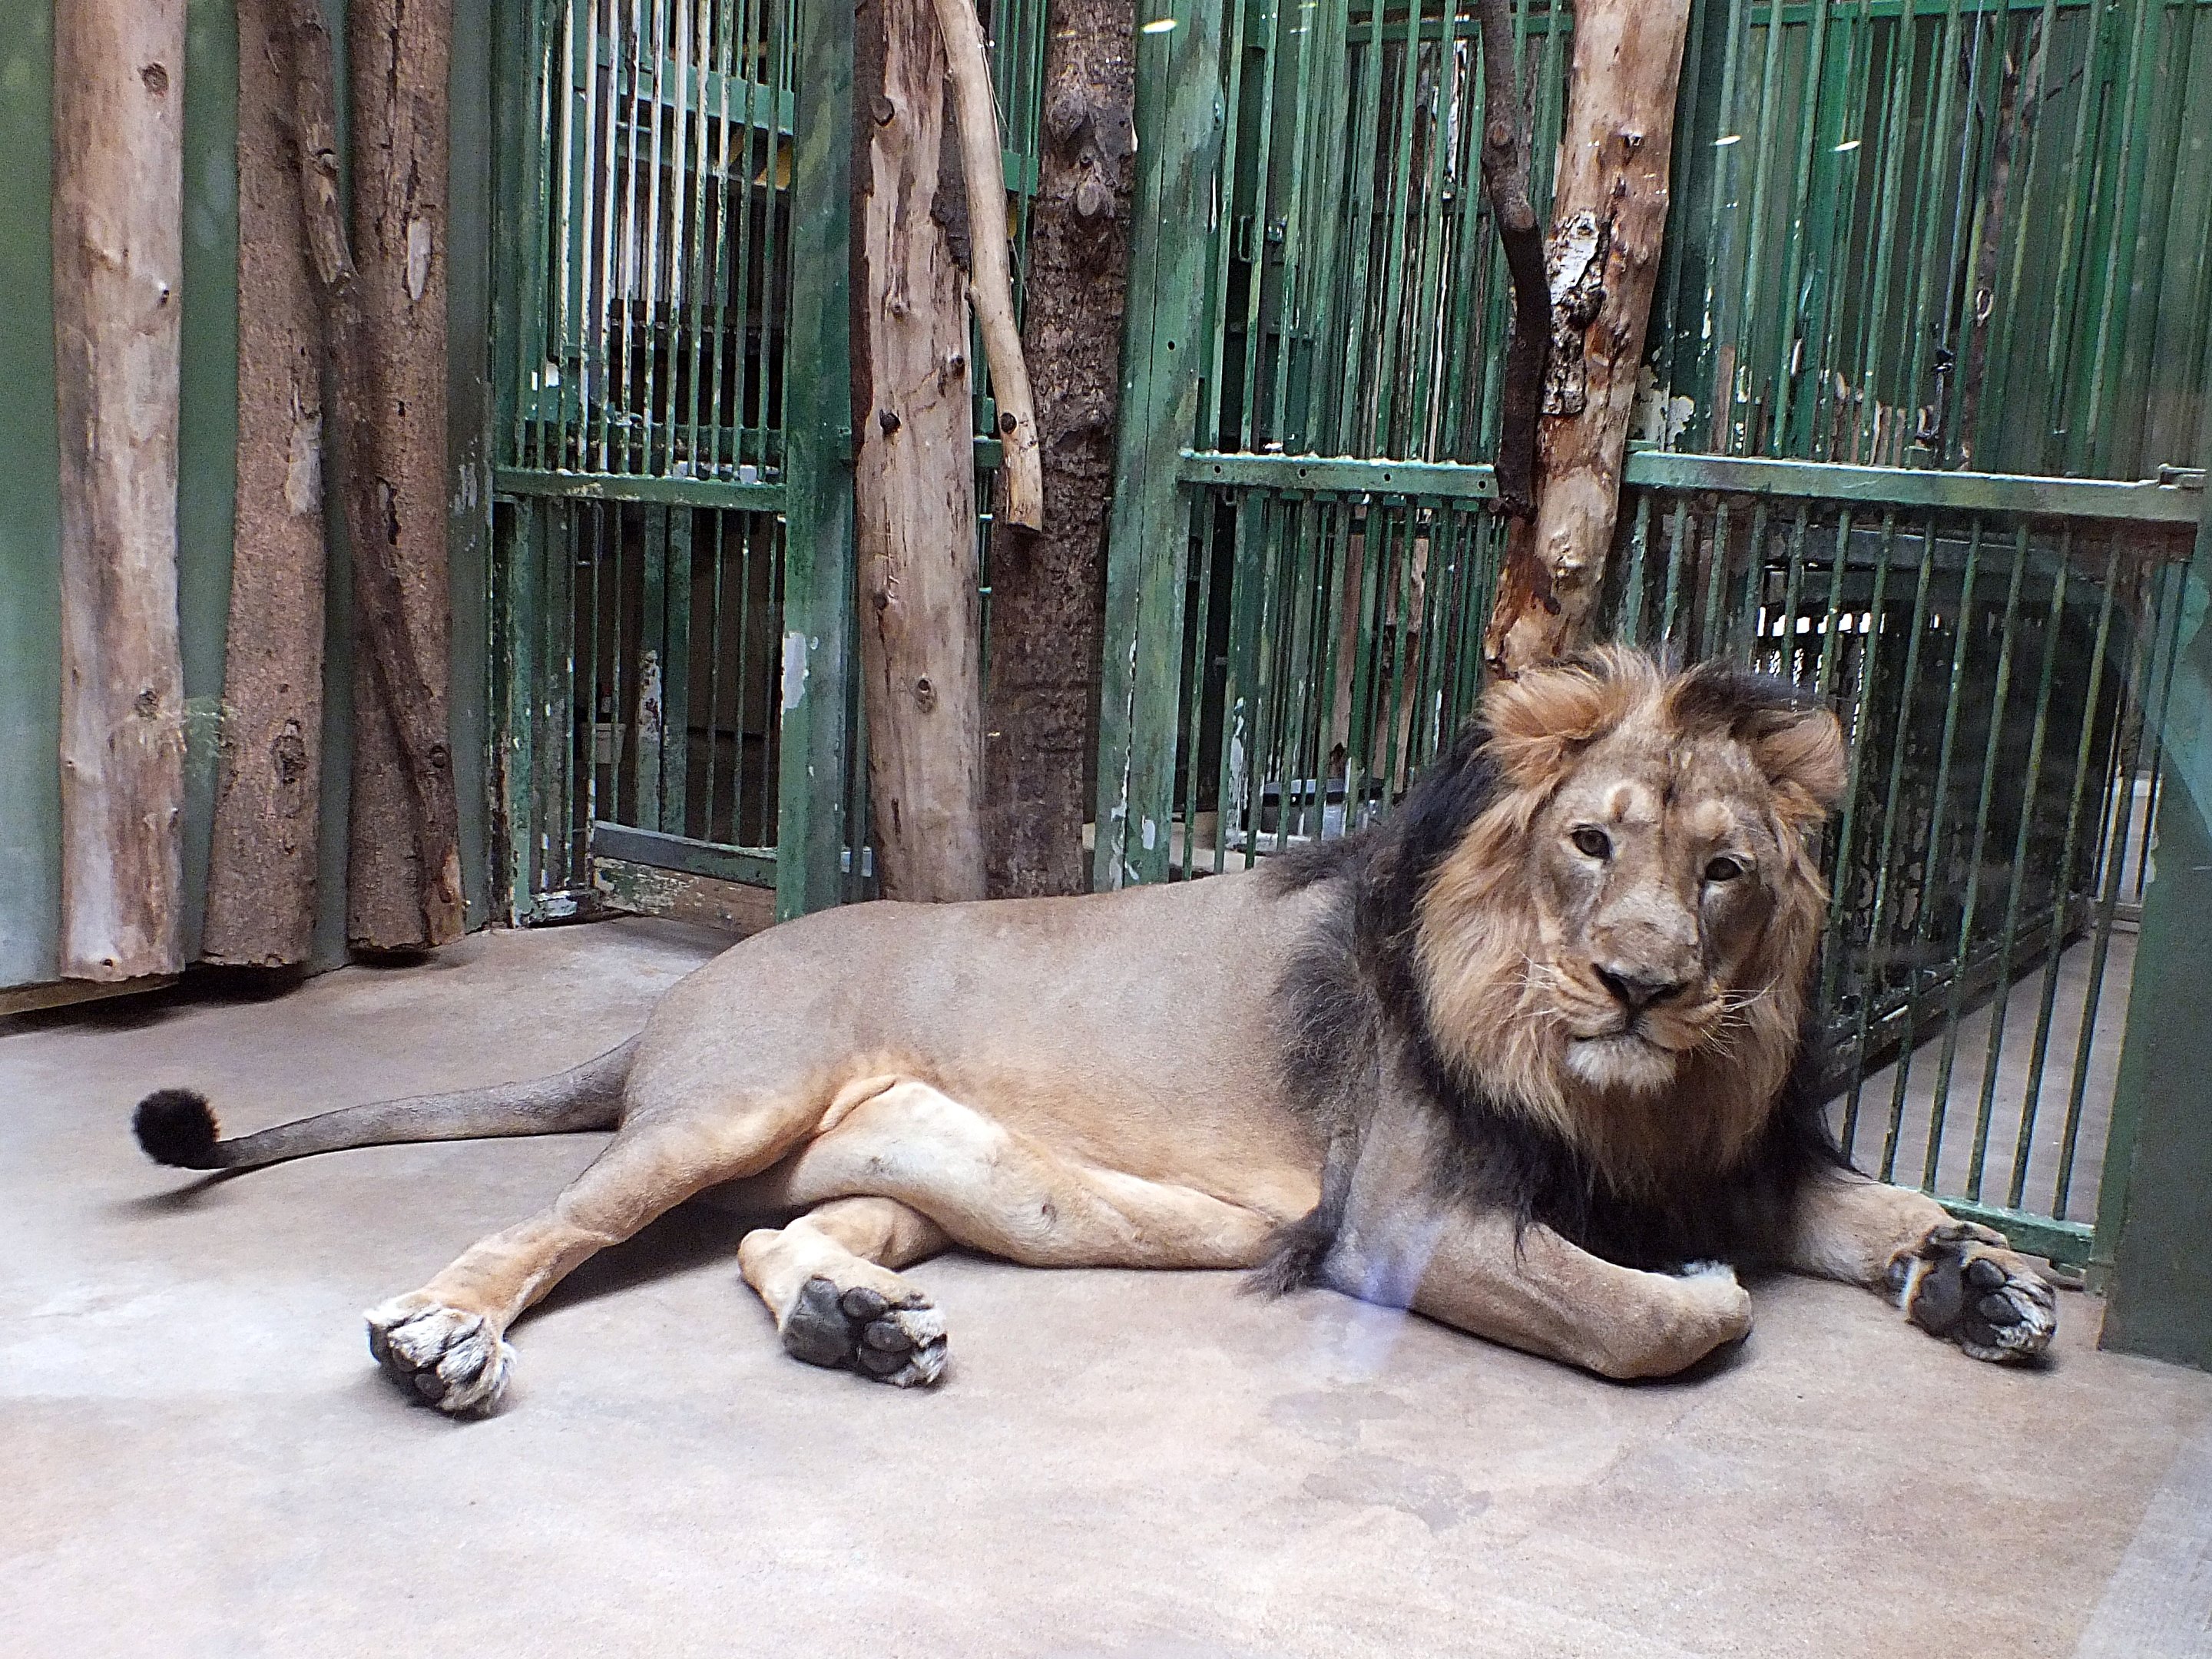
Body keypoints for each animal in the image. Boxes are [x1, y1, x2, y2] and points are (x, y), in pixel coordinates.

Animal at [133, 649, 2056, 1414]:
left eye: (1724, 872)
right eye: (1593, 843)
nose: (1643, 986)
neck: (1627, 1088)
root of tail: (688, 984)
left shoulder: (1710, 1144)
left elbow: (1872, 1205)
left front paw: (1982, 1278)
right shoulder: (1401, 1220)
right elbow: (1655, 1323)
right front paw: (1704, 1291)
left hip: (904, 1166)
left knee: (780, 1237)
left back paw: (856, 1323)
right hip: (726, 1107)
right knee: (544, 1226)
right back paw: (435, 1339)